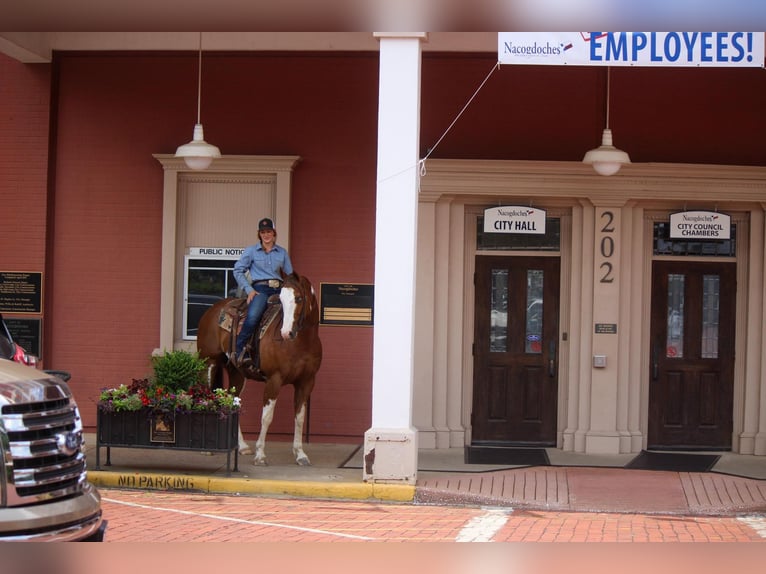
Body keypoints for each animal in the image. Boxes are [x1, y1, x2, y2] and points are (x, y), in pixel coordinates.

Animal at [196, 272, 322, 468]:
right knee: (207, 399)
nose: (286, 333)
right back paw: (207, 449)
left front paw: (300, 454)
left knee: (232, 401)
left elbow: (299, 418)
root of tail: (212, 310)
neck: (301, 343)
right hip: (209, 363)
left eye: (299, 298)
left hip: (236, 373)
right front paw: (260, 455)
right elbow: (267, 417)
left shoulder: (306, 382)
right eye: (281, 299)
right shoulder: (274, 380)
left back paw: (242, 446)